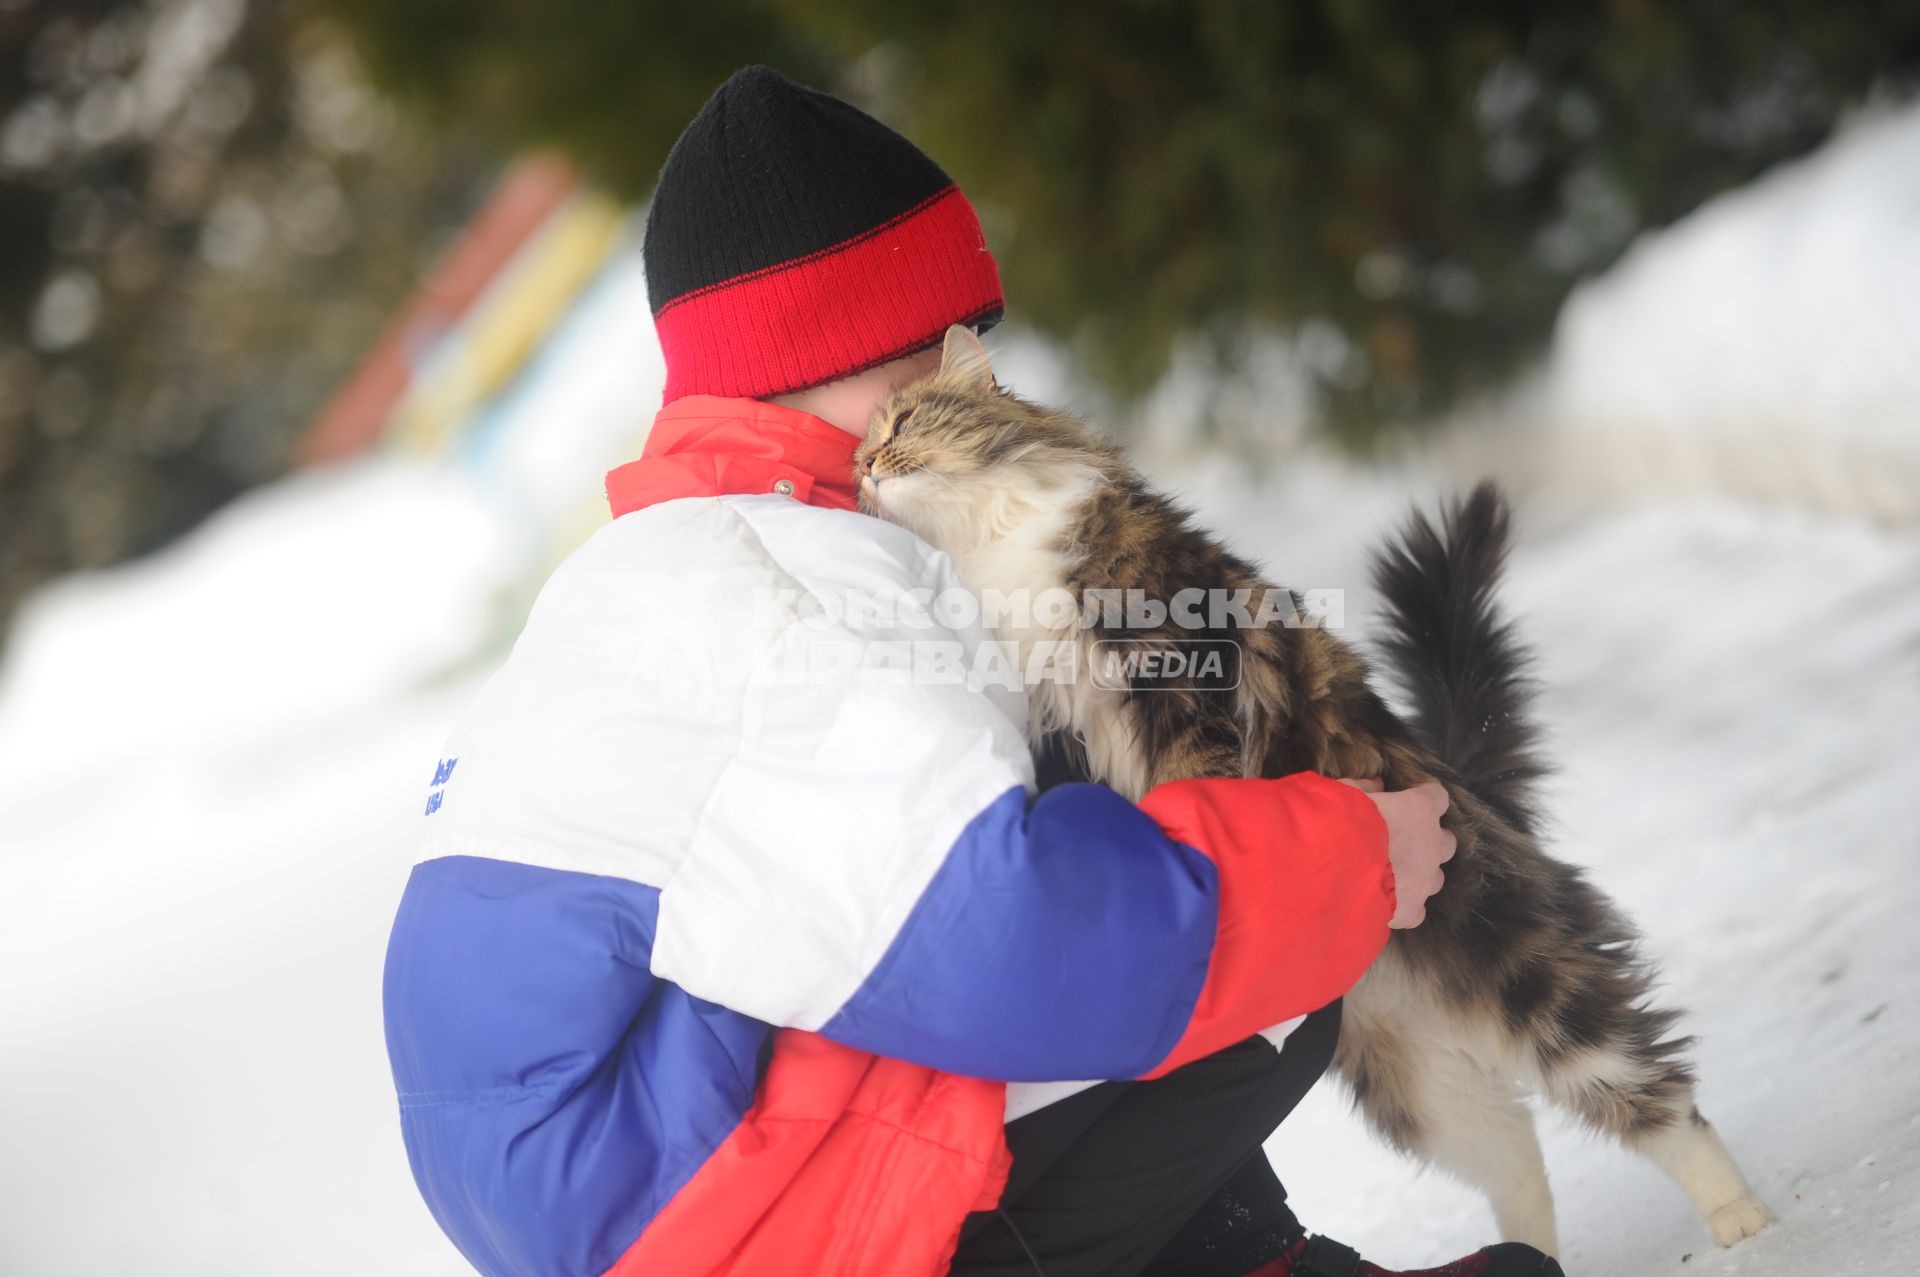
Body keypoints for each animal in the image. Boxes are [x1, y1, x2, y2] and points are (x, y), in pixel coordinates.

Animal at [856, 324, 1766, 1252]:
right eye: (866, 443)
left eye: (905, 421)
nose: (864, 465)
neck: (989, 540)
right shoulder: (1060, 731)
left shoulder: (1183, 681)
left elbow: (1194, 786)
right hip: (1416, 1083)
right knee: (1518, 1162)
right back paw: (1528, 1255)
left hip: (1528, 980)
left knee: (1650, 1091)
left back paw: (1739, 1217)